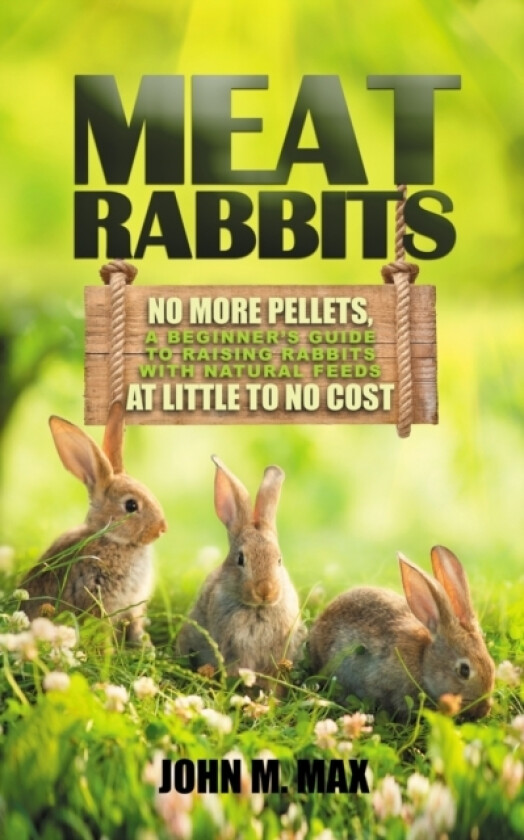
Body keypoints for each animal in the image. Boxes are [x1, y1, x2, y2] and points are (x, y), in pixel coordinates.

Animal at [21, 402, 167, 643]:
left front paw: (144, 645)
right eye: (131, 506)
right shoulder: (96, 595)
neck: (112, 539)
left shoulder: (133, 607)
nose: (162, 529)